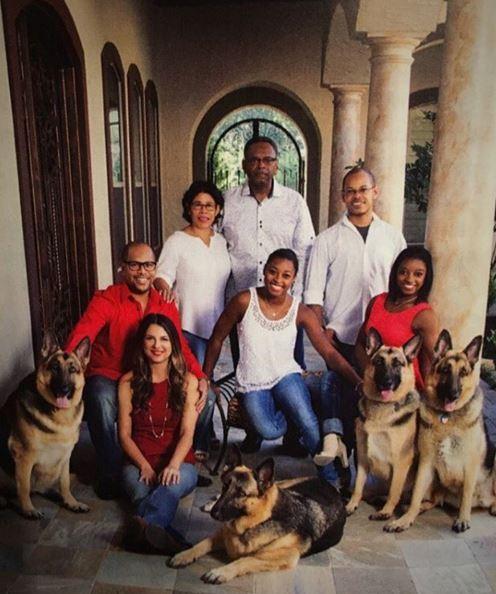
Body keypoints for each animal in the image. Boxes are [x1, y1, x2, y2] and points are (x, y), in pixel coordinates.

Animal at [2, 332, 91, 518]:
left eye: (73, 370)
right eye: (55, 368)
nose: (63, 389)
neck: (60, 415)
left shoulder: (65, 456)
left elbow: (64, 483)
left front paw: (71, 502)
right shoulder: (24, 457)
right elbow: (24, 486)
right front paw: (28, 509)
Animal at [168, 446, 346, 583]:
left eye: (241, 494)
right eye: (225, 486)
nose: (214, 513)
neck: (260, 520)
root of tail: (331, 486)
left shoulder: (286, 555)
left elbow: (246, 559)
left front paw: (221, 572)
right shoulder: (221, 533)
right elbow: (202, 543)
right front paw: (184, 555)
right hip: (281, 485)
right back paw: (210, 503)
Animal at [345, 328, 422, 520]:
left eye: (398, 364)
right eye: (379, 362)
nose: (387, 382)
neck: (381, 407)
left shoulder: (401, 462)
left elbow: (394, 490)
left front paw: (386, 511)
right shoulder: (363, 457)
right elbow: (358, 486)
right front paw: (351, 505)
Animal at [385, 329, 496, 533]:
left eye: (463, 373)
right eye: (445, 370)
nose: (453, 394)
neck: (447, 417)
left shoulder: (471, 464)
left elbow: (466, 495)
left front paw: (462, 519)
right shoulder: (426, 462)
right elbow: (416, 495)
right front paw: (404, 519)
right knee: (433, 500)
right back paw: (414, 508)